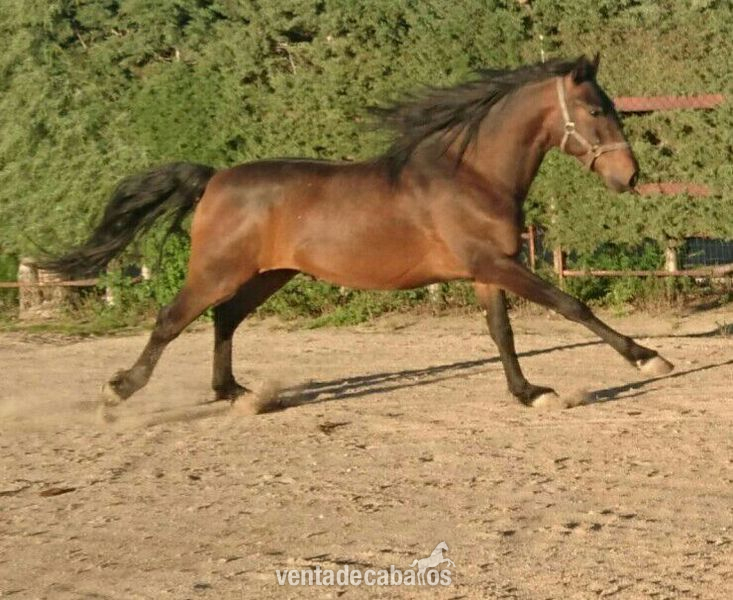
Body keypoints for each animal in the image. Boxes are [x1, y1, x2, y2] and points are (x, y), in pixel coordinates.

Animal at [46, 54, 673, 409]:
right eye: (595, 110)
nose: (629, 176)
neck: (470, 175)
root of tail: (214, 178)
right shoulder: (498, 264)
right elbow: (571, 306)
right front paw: (648, 359)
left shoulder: (486, 270)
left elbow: (501, 333)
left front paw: (528, 394)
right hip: (218, 270)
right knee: (171, 319)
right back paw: (120, 389)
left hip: (267, 274)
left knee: (224, 320)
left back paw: (237, 394)